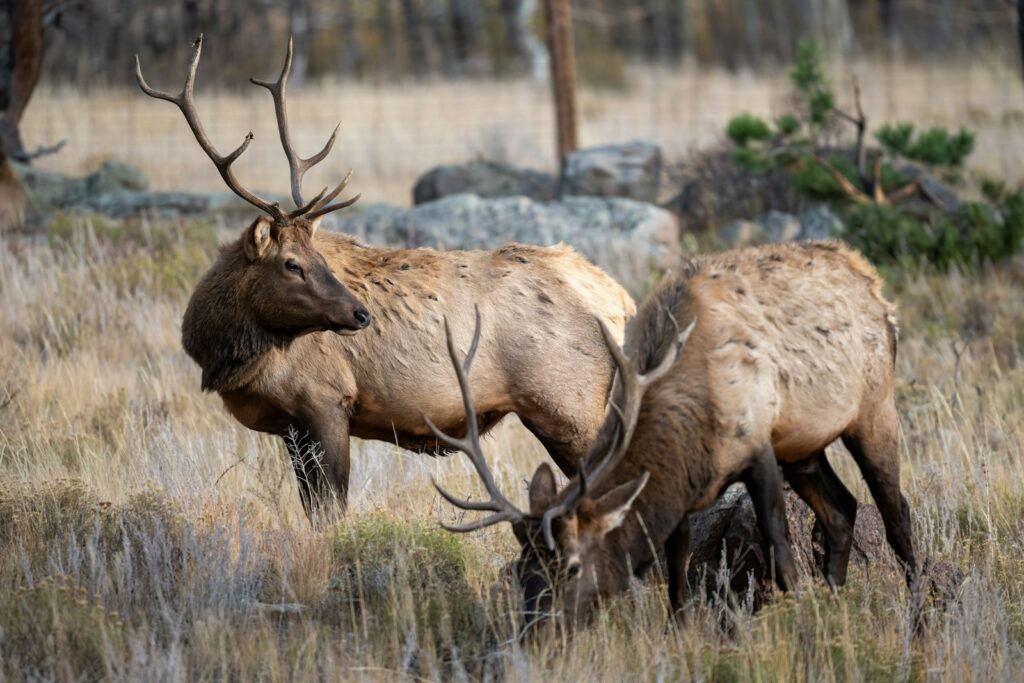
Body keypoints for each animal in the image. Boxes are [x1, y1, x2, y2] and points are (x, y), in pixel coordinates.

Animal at [136, 36, 635, 521]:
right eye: (294, 263)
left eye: (311, 259)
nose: (360, 315)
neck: (224, 352)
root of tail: (618, 300)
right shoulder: (291, 426)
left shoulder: (325, 402)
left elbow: (330, 511)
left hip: (566, 404)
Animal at [431, 241, 917, 631]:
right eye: (521, 570)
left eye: (571, 566)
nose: (535, 635)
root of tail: (871, 281)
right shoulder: (685, 483)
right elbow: (677, 567)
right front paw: (680, 632)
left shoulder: (758, 448)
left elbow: (780, 553)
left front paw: (801, 623)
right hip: (804, 446)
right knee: (842, 511)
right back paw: (835, 602)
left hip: (874, 408)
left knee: (898, 515)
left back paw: (919, 613)